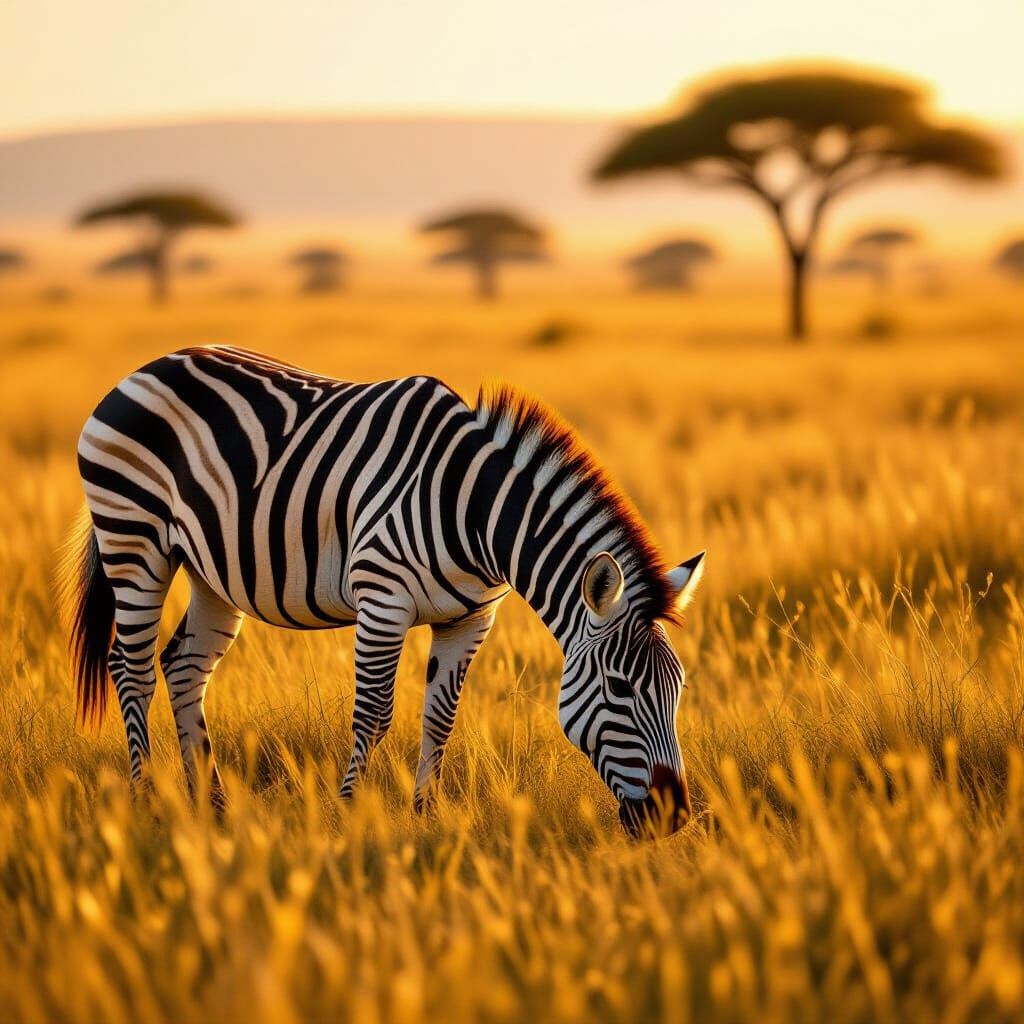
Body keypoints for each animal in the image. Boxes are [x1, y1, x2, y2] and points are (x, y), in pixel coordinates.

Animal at [61, 345, 705, 836]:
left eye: (678, 688)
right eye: (620, 687)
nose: (672, 818)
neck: (474, 511)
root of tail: (145, 368)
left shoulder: (471, 619)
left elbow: (440, 717)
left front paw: (425, 816)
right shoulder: (382, 599)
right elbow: (372, 713)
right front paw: (347, 814)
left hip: (210, 569)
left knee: (184, 666)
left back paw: (209, 806)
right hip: (134, 539)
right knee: (131, 668)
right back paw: (146, 801)